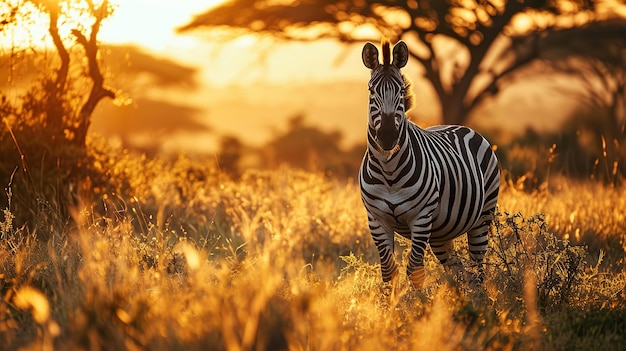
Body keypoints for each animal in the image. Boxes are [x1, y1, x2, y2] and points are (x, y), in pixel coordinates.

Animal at [356, 38, 498, 290]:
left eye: (401, 91)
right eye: (372, 91)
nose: (388, 137)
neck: (388, 171)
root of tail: (459, 125)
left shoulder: (421, 218)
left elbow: (415, 271)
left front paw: (420, 301)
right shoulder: (376, 220)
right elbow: (388, 271)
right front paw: (389, 301)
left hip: (483, 216)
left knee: (477, 269)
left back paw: (476, 299)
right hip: (442, 232)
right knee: (458, 269)